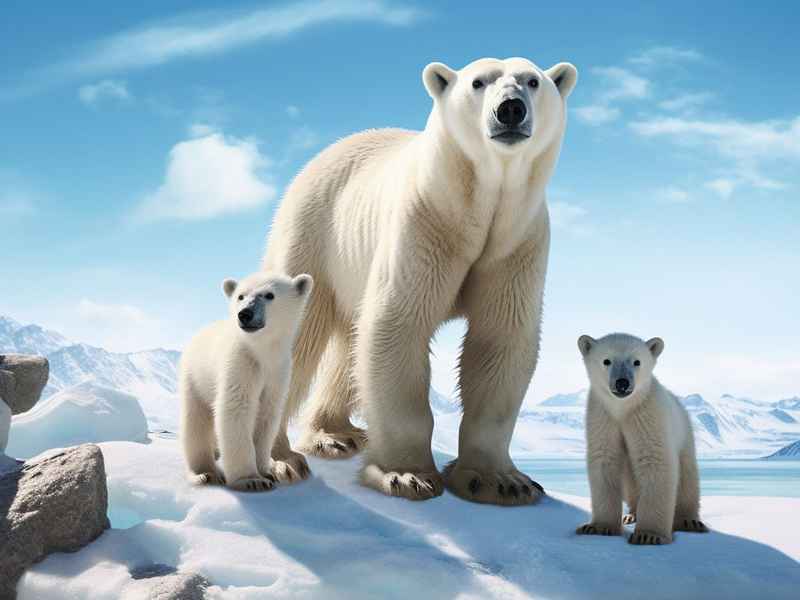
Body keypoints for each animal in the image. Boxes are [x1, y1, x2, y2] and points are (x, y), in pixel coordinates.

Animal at [179, 271, 313, 491]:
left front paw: (267, 472)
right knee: (196, 422)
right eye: (240, 296)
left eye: (269, 295)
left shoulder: (278, 372)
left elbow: (266, 415)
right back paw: (206, 473)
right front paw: (251, 480)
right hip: (195, 377)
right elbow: (236, 408)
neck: (262, 352)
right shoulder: (241, 364)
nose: (244, 314)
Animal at [261, 57, 577, 505]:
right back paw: (279, 459)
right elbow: (398, 327)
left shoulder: (517, 243)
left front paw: (501, 481)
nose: (511, 109)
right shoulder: (425, 225)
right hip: (314, 233)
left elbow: (500, 341)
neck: (477, 208)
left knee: (348, 343)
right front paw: (405, 475)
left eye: (532, 81)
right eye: (478, 82)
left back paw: (335, 435)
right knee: (296, 335)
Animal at [575, 333, 709, 544]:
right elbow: (605, 460)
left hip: (685, 435)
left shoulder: (647, 415)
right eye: (606, 360)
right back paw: (631, 514)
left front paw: (648, 535)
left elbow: (655, 461)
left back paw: (689, 521)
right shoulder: (602, 417)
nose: (622, 383)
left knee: (688, 478)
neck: (623, 409)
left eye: (637, 361)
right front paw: (597, 527)